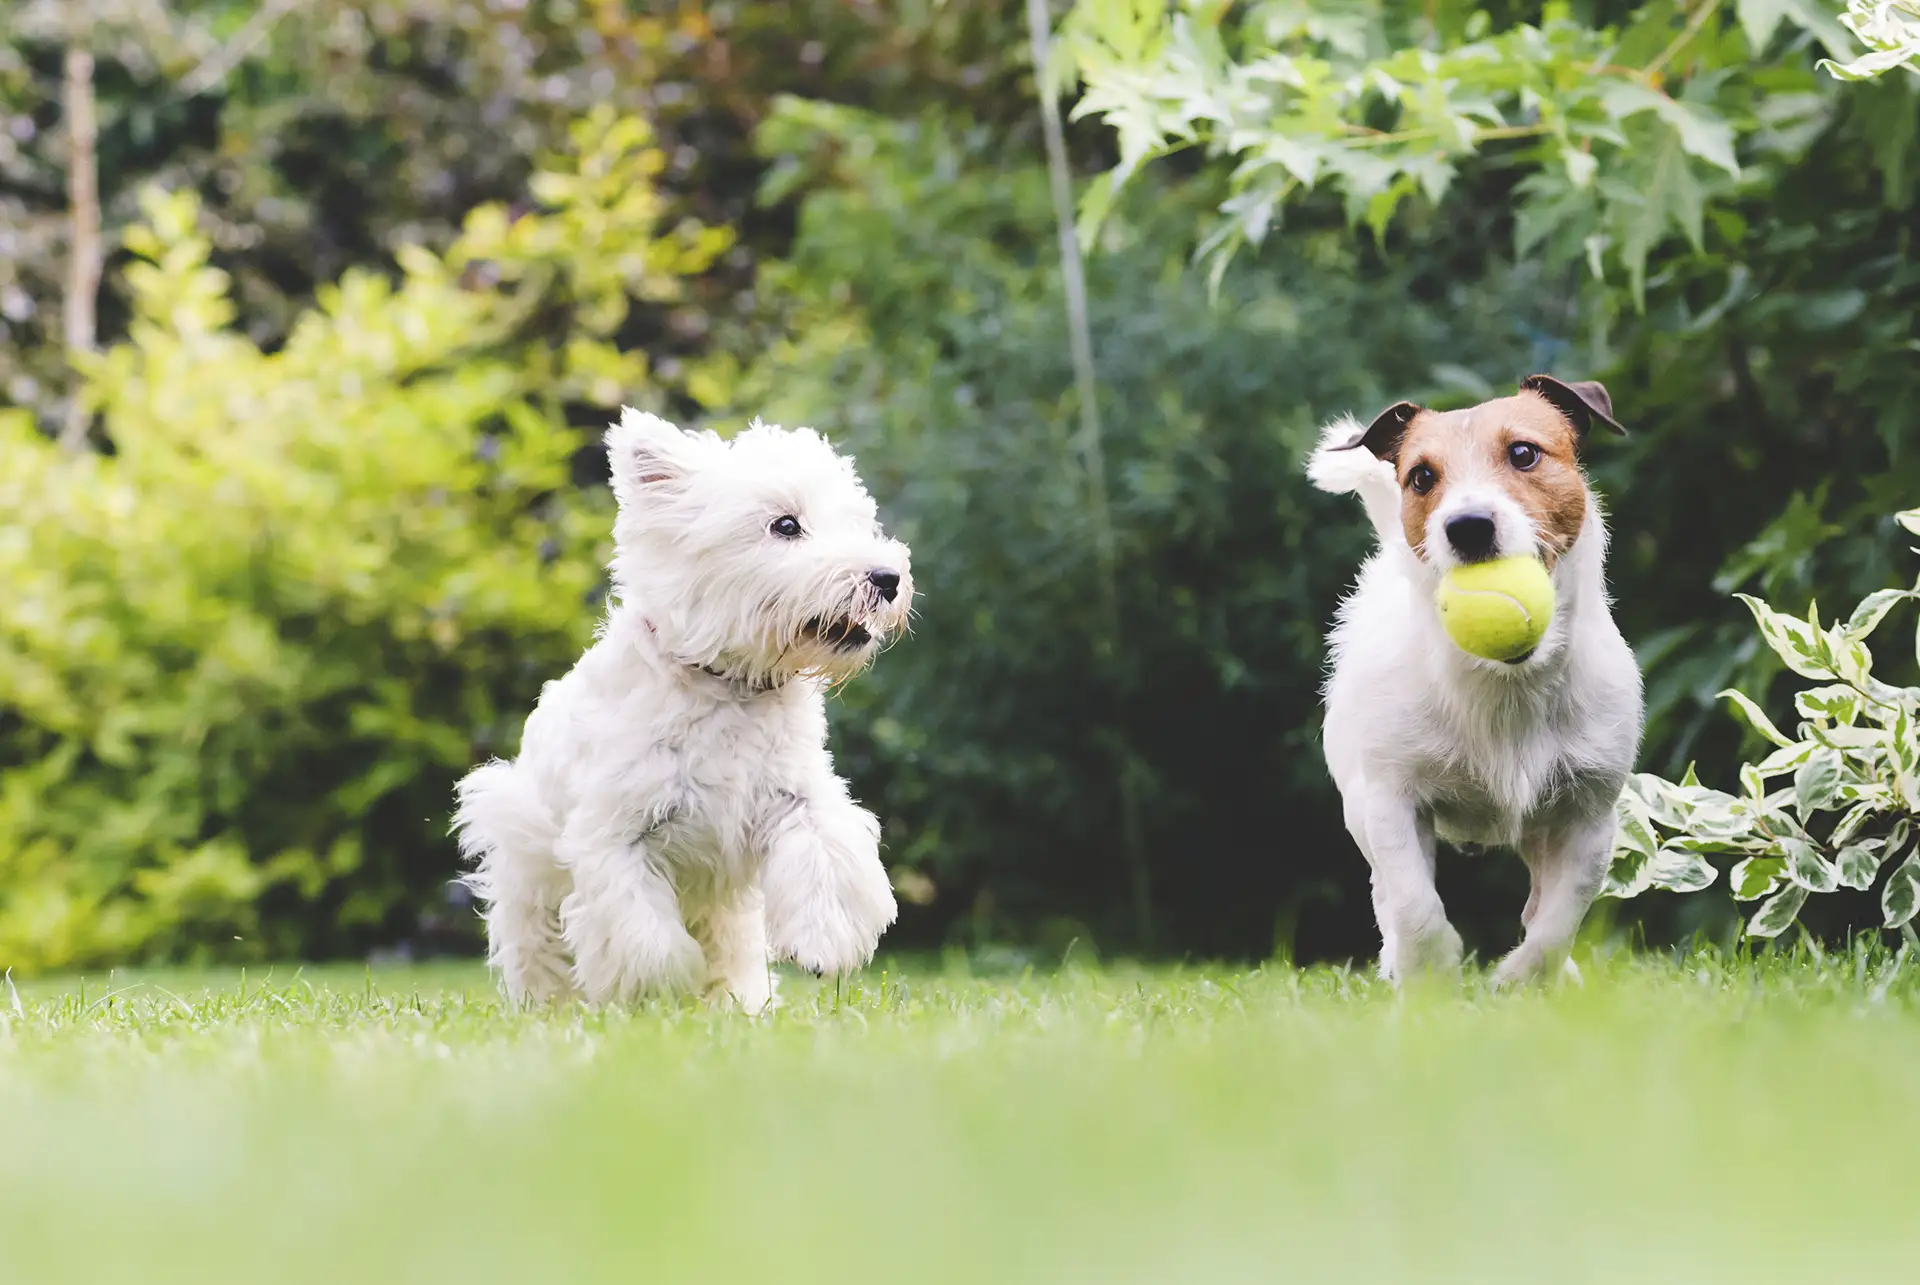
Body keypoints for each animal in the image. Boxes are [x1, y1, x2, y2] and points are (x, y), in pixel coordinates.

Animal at [460, 405, 917, 1006]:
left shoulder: (795, 797)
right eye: (785, 525)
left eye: (860, 522)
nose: (888, 578)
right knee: (538, 951)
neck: (728, 685)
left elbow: (824, 852)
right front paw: (659, 993)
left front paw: (823, 945)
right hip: (525, 866)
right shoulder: (617, 834)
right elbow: (646, 938)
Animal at [1313, 376, 1643, 991]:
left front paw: (1522, 977)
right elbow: (1414, 902)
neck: (1506, 679)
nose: (1467, 526)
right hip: (1360, 807)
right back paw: (1397, 962)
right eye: (1421, 476)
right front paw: (1433, 968)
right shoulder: (1391, 802)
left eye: (1524, 453)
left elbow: (1559, 919)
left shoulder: (1589, 815)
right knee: (1386, 893)